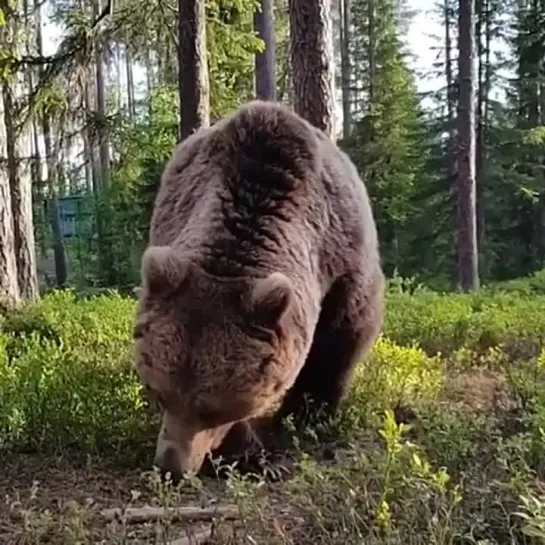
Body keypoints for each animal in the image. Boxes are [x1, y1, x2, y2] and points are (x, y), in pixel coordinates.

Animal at [134, 100, 384, 478]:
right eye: (159, 392)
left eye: (212, 409)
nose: (171, 466)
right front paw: (245, 450)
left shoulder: (343, 255)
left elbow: (342, 336)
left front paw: (308, 415)